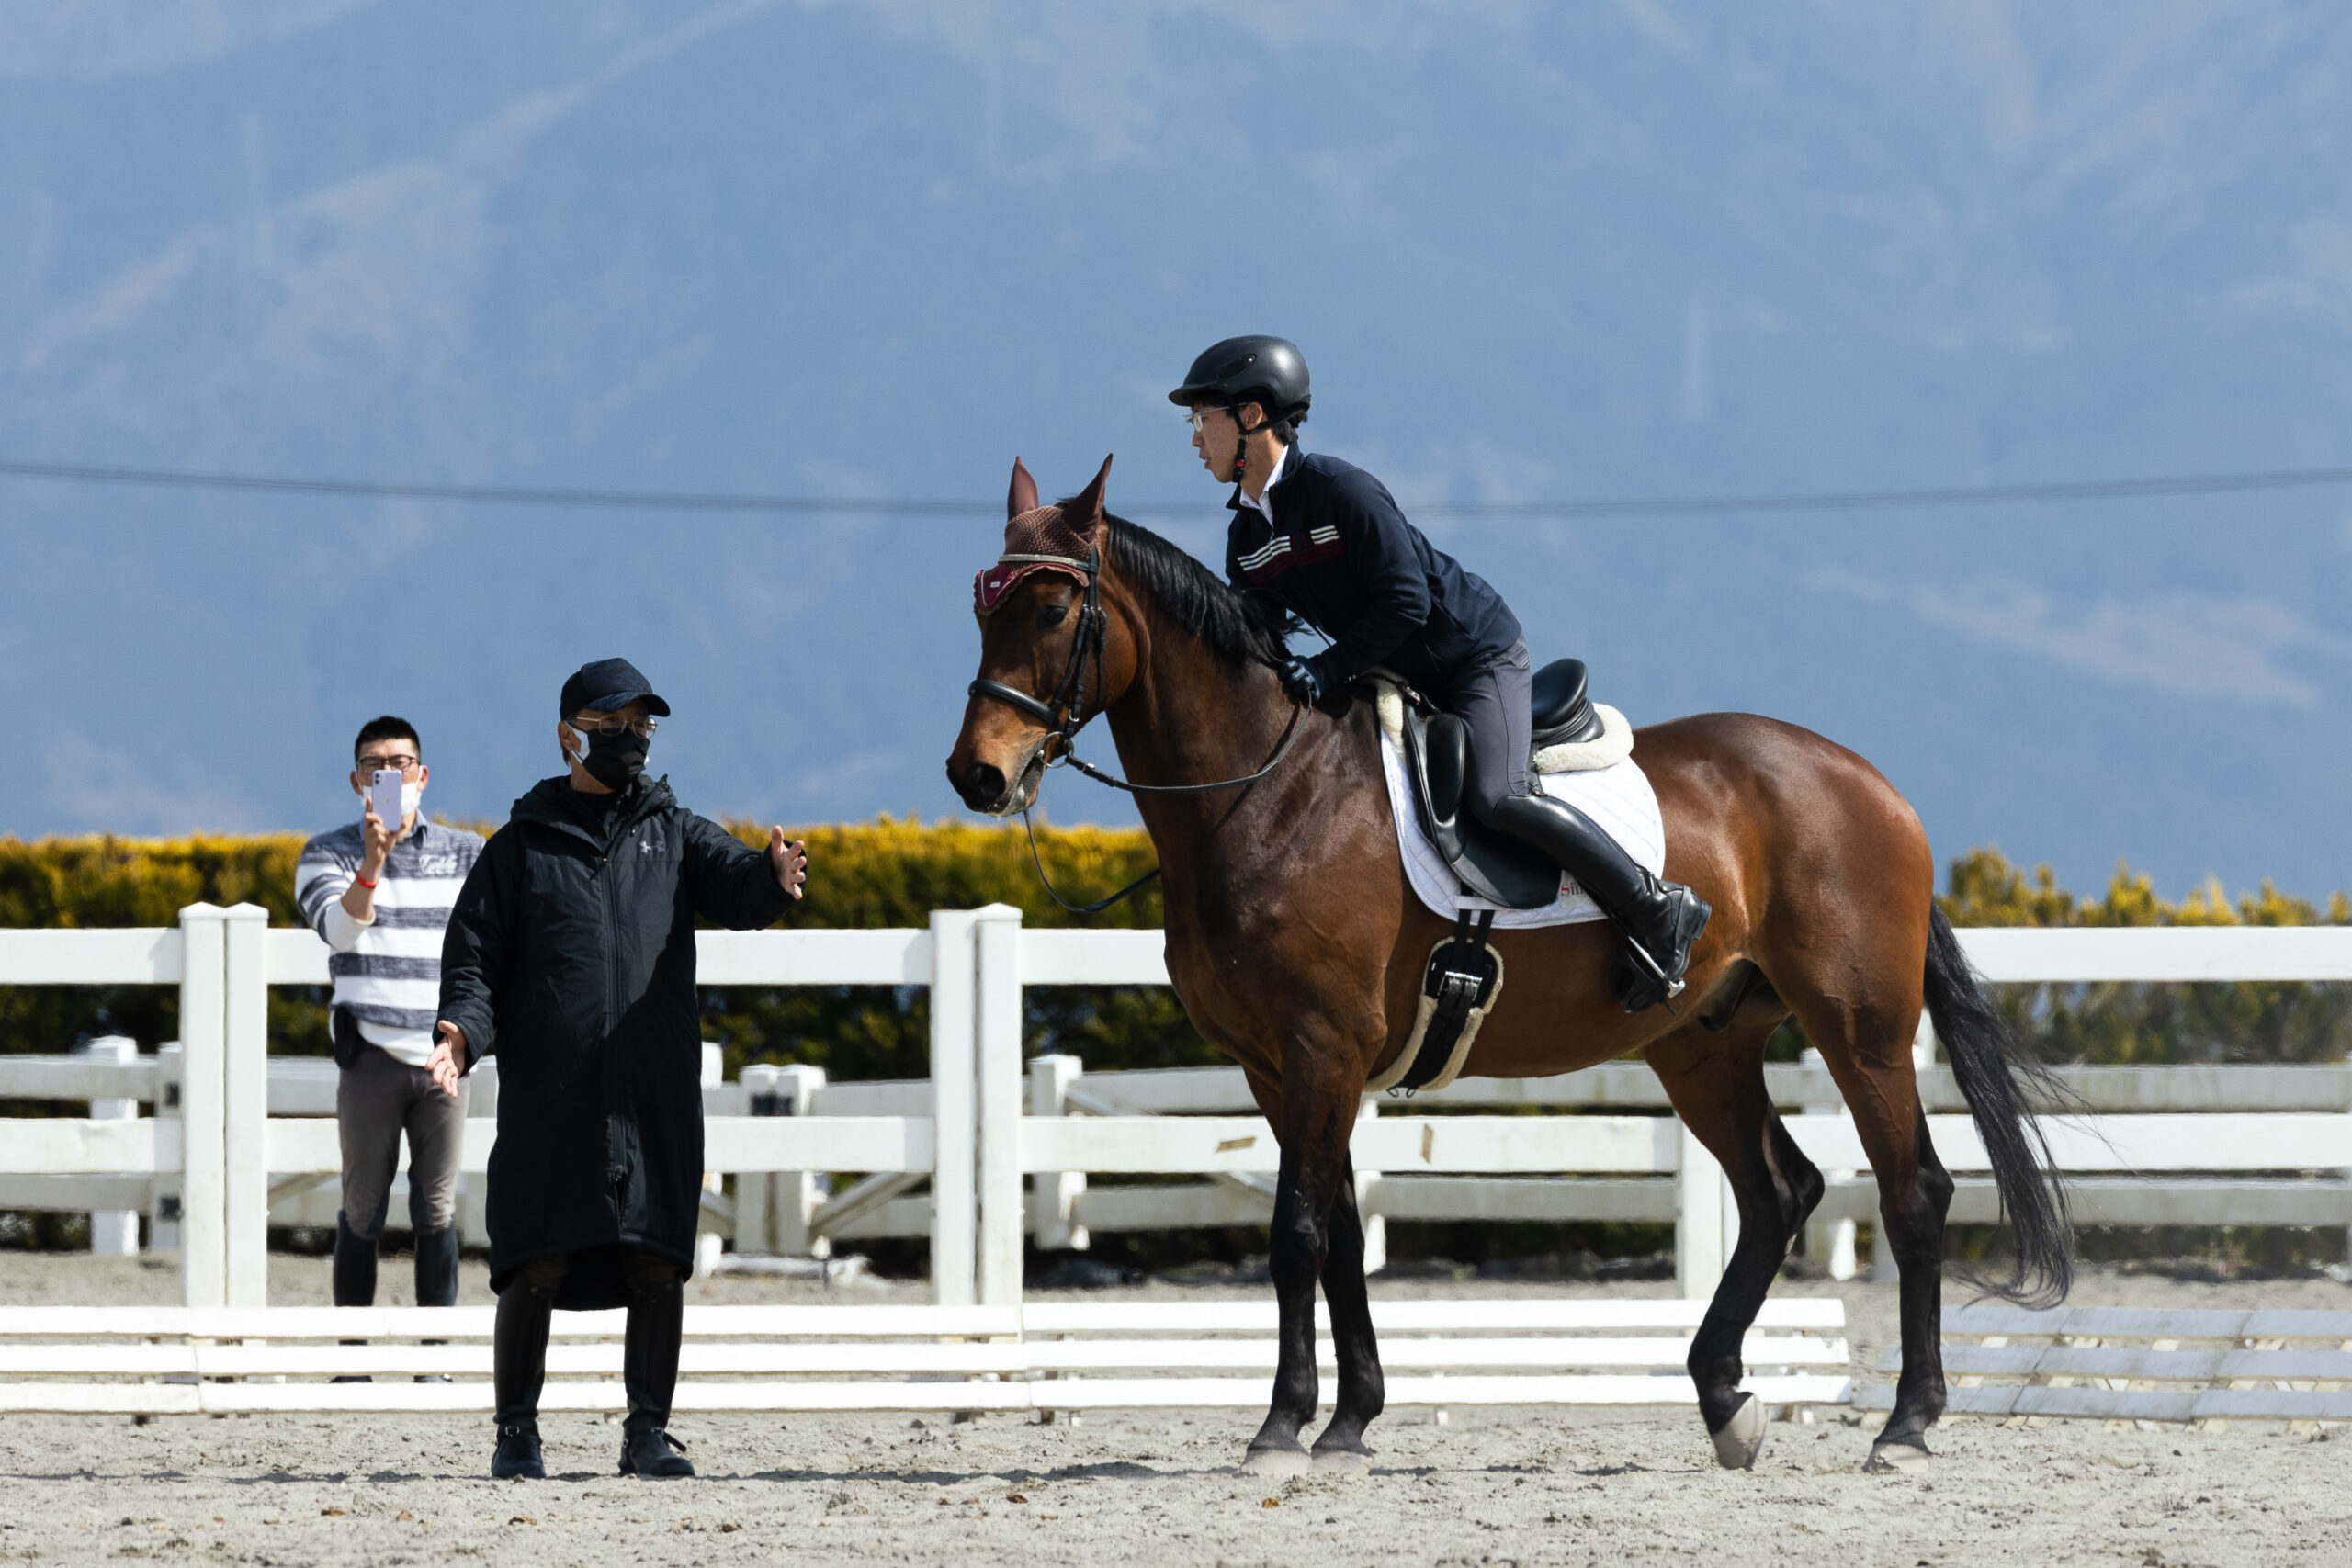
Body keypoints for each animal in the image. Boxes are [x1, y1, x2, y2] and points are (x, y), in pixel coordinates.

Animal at [945, 451, 2069, 1476]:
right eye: (980, 606)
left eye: (1052, 610)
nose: (977, 776)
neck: (1262, 789)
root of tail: (1872, 783)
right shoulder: (1279, 1066)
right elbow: (1342, 1230)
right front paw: (1349, 1422)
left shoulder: (1320, 1049)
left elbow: (1296, 1230)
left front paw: (1280, 1428)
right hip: (1702, 1045)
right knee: (1777, 1192)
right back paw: (1725, 1403)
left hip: (1858, 1026)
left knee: (1912, 1191)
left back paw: (1906, 1423)